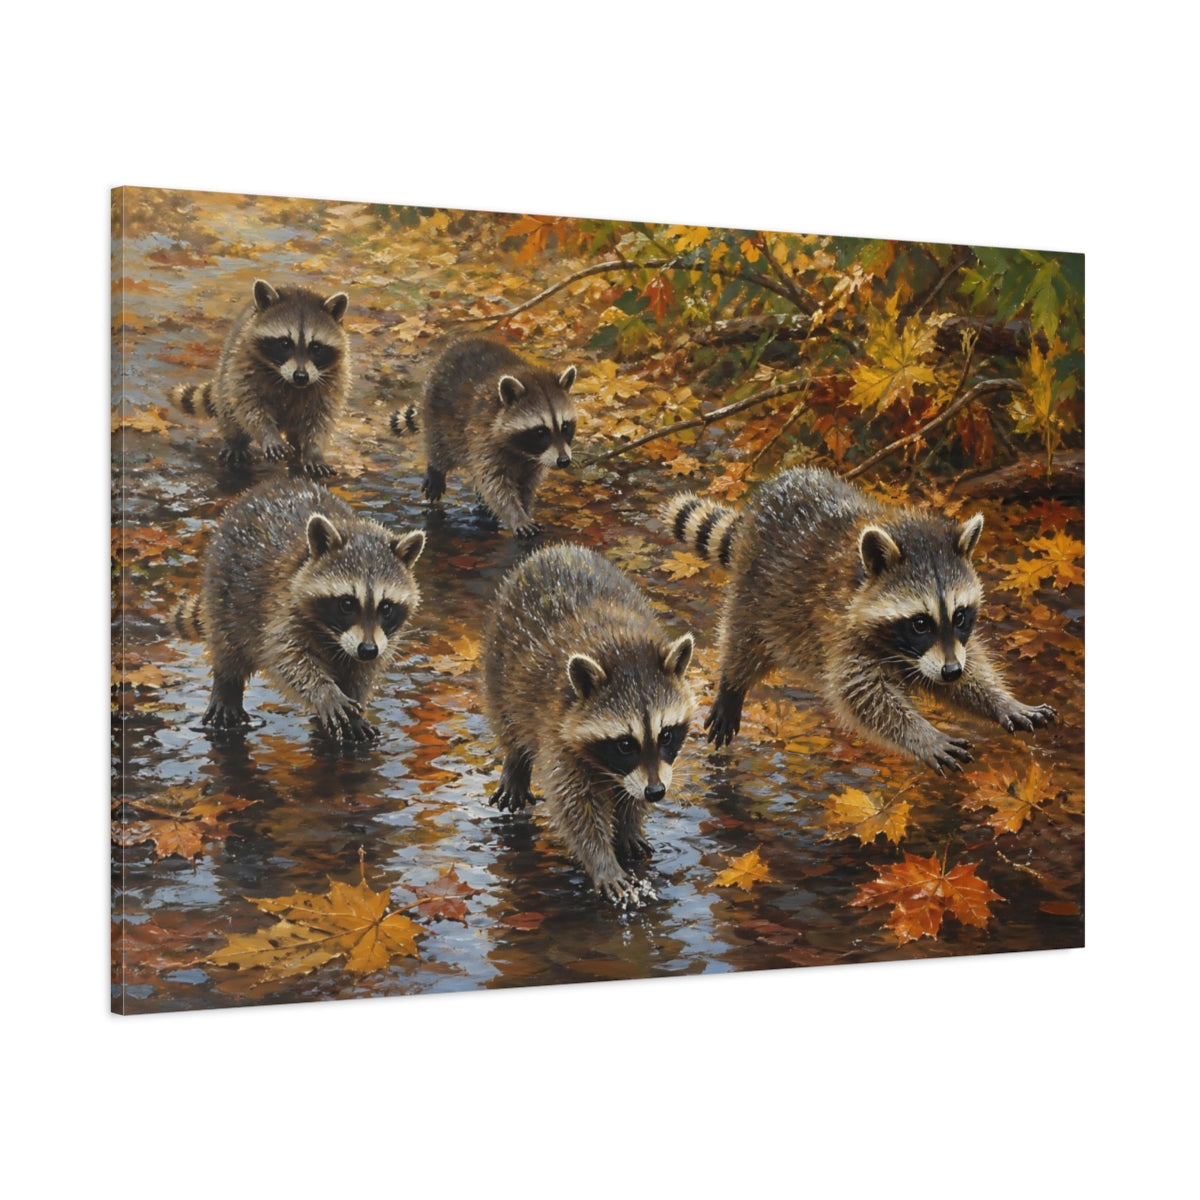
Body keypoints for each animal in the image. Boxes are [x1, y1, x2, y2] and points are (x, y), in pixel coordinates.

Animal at [172, 279, 351, 476]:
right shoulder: (243, 363)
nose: (301, 376)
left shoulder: (334, 378)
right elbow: (251, 406)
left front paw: (314, 451)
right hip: (226, 373)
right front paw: (268, 435)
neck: (290, 384)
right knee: (229, 409)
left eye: (316, 347)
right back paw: (235, 441)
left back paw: (297, 448)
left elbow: (321, 418)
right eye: (285, 343)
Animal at [174, 478, 424, 742]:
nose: (367, 650)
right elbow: (288, 657)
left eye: (386, 607)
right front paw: (325, 692)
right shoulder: (282, 607)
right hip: (223, 589)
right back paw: (226, 686)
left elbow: (361, 675)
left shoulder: (381, 640)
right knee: (227, 643)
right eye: (347, 603)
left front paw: (355, 710)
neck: (333, 637)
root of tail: (272, 485)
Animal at [401, 337, 578, 537]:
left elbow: (526, 486)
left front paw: (525, 508)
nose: (564, 461)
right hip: (437, 412)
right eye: (540, 431)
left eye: (565, 426)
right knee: (439, 445)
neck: (524, 452)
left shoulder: (534, 462)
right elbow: (495, 485)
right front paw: (517, 516)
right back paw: (436, 467)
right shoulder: (483, 438)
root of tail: (463, 342)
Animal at [483, 544, 696, 903]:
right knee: (508, 717)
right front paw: (602, 861)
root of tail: (556, 549)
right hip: (499, 661)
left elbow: (629, 794)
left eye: (666, 735)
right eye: (625, 744)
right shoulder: (557, 730)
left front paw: (629, 825)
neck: (623, 649)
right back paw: (515, 761)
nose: (655, 792)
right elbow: (575, 806)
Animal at [665, 467, 1057, 774]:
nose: (950, 672)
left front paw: (1001, 701)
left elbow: (971, 665)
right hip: (755, 590)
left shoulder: (949, 646)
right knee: (743, 637)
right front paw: (923, 735)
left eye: (960, 615)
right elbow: (861, 695)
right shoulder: (842, 629)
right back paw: (733, 681)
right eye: (920, 623)